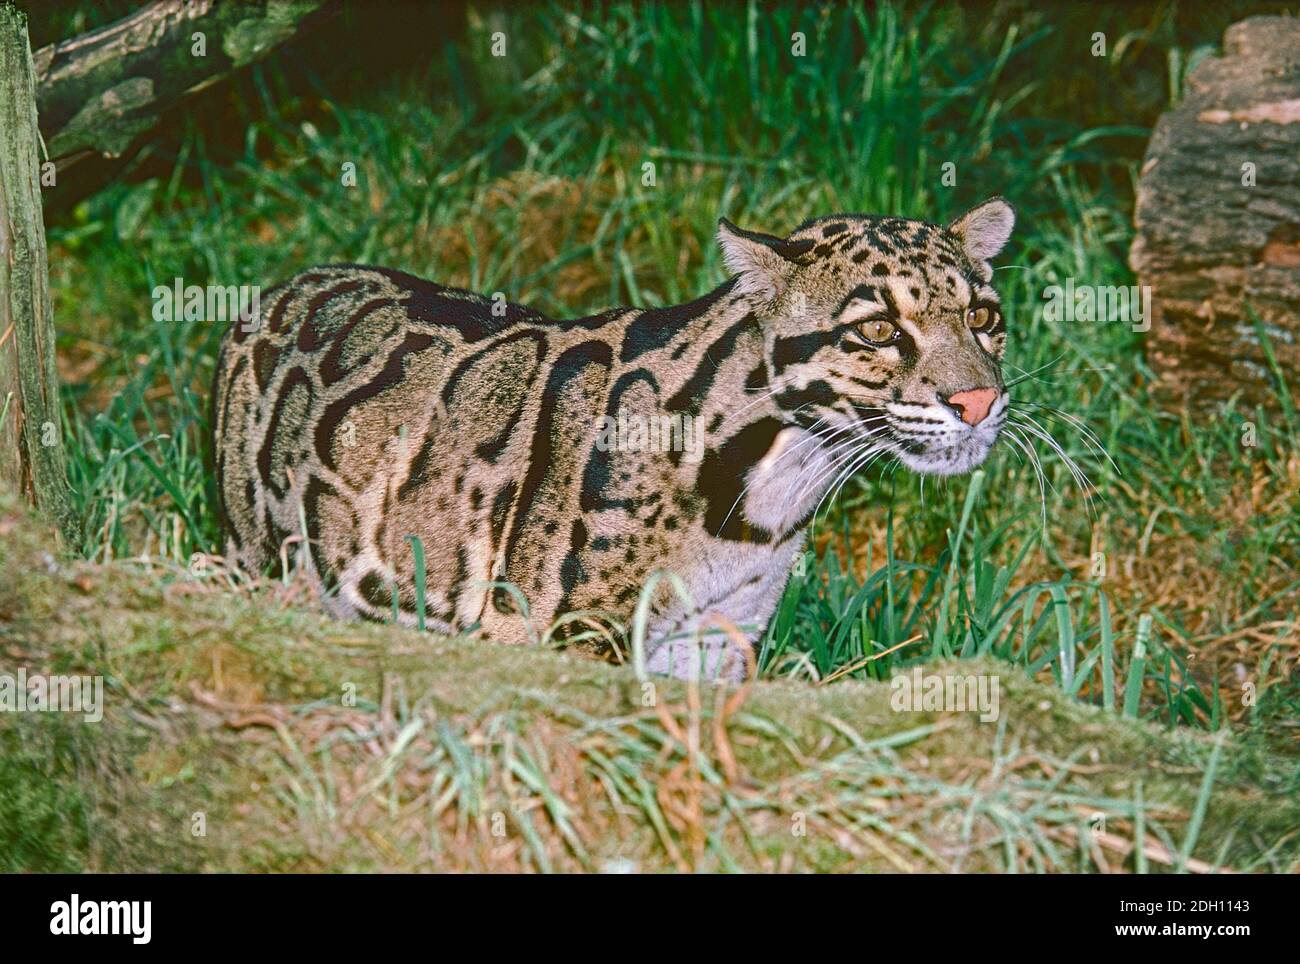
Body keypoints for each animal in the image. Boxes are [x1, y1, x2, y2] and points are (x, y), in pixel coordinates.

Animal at [210, 198, 1013, 680]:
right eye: (877, 330)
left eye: (983, 317)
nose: (979, 399)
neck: (769, 492)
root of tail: (278, 289)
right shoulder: (558, 630)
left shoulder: (714, 640)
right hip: (263, 553)